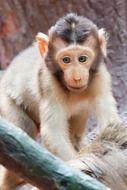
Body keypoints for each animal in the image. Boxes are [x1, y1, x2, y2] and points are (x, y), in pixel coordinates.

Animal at [0, 13, 119, 189]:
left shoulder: (101, 77)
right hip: (5, 99)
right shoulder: (48, 81)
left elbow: (111, 127)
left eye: (82, 59)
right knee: (24, 128)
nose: (77, 77)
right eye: (66, 60)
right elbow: (53, 133)